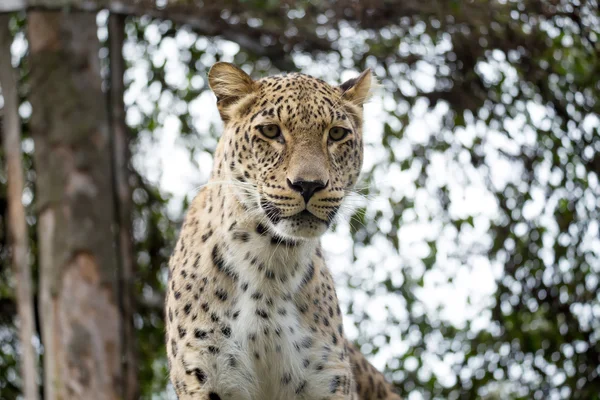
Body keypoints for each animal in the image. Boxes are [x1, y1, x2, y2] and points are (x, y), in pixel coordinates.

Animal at [166, 62, 400, 400]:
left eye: (337, 133)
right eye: (270, 131)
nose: (308, 185)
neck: (271, 262)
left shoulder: (326, 378)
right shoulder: (208, 376)